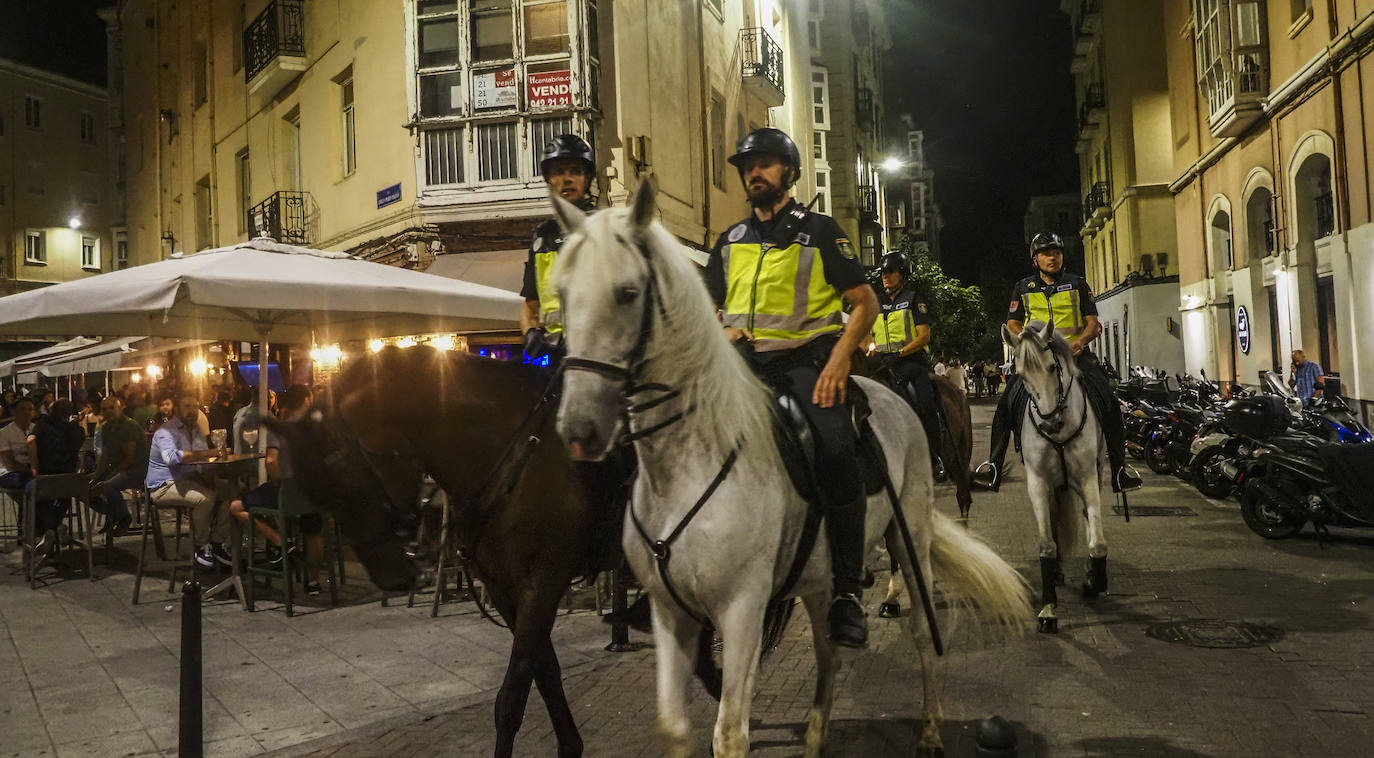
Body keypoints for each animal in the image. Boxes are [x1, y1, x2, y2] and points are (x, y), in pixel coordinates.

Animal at [265, 346, 719, 752]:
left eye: (349, 481)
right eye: (318, 496)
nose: (392, 577)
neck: (508, 450)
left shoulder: (543, 584)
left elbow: (512, 697)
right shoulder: (505, 590)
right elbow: (545, 671)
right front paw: (570, 744)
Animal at [552, 178, 1027, 758]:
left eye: (626, 292)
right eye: (561, 294)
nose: (579, 428)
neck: (687, 465)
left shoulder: (741, 610)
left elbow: (730, 732)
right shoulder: (671, 611)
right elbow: (675, 728)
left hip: (909, 534)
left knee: (920, 632)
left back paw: (931, 729)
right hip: (821, 576)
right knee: (829, 651)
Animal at [1005, 319, 1110, 634]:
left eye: (1053, 367)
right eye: (1020, 374)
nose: (1050, 424)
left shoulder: (1088, 478)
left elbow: (1098, 543)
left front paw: (1094, 582)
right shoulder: (1038, 483)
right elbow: (1047, 544)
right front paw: (1048, 609)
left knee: (1087, 519)